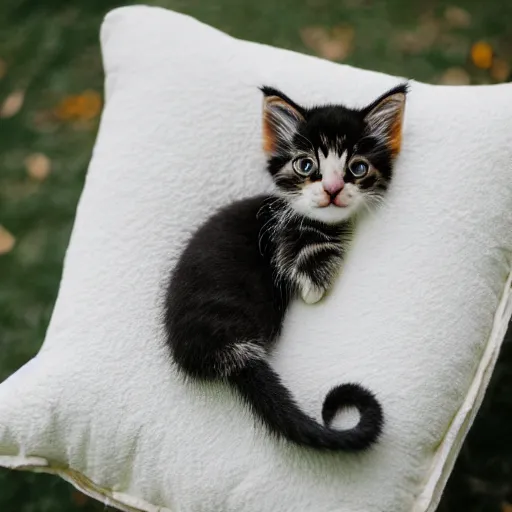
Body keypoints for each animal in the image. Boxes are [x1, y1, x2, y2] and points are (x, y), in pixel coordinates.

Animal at [164, 85, 408, 452]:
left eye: (358, 168)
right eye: (306, 165)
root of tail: (224, 351)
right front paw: (317, 284)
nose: (332, 189)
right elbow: (309, 275)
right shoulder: (284, 237)